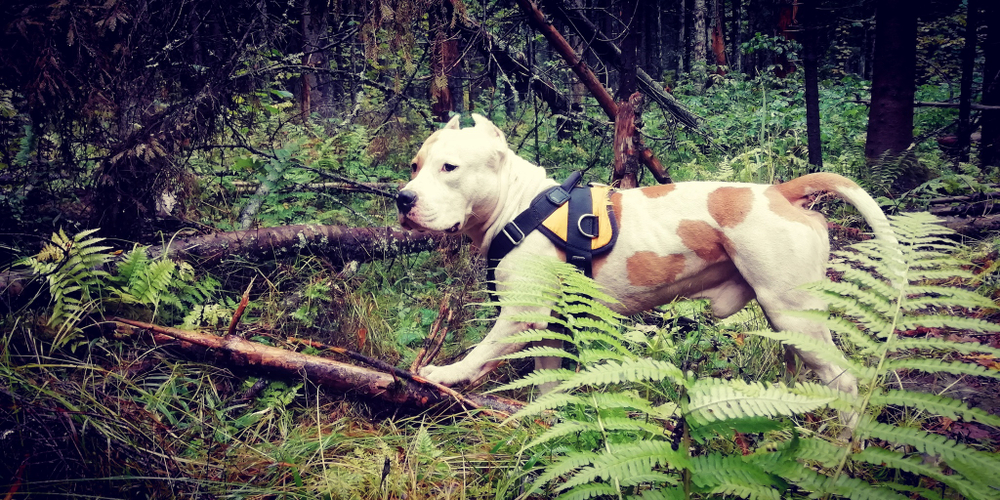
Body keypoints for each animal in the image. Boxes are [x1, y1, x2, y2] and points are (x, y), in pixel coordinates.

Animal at [394, 114, 896, 402]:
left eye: (450, 168)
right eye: (414, 166)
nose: (403, 199)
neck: (520, 207)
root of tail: (780, 192)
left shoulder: (521, 316)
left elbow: (479, 353)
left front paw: (445, 373)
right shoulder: (552, 326)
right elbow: (548, 385)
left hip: (795, 314)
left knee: (845, 382)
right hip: (785, 321)